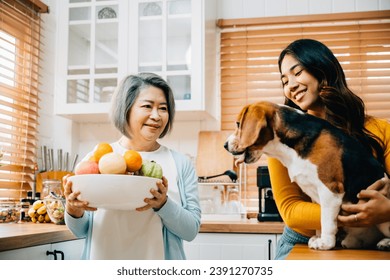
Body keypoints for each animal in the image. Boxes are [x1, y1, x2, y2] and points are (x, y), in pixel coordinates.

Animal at [224, 101, 390, 250]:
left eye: (238, 124)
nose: (225, 145)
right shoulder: (316, 196)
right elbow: (319, 221)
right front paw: (318, 237)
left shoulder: (330, 191)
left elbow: (326, 221)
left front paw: (325, 243)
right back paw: (353, 241)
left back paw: (384, 243)